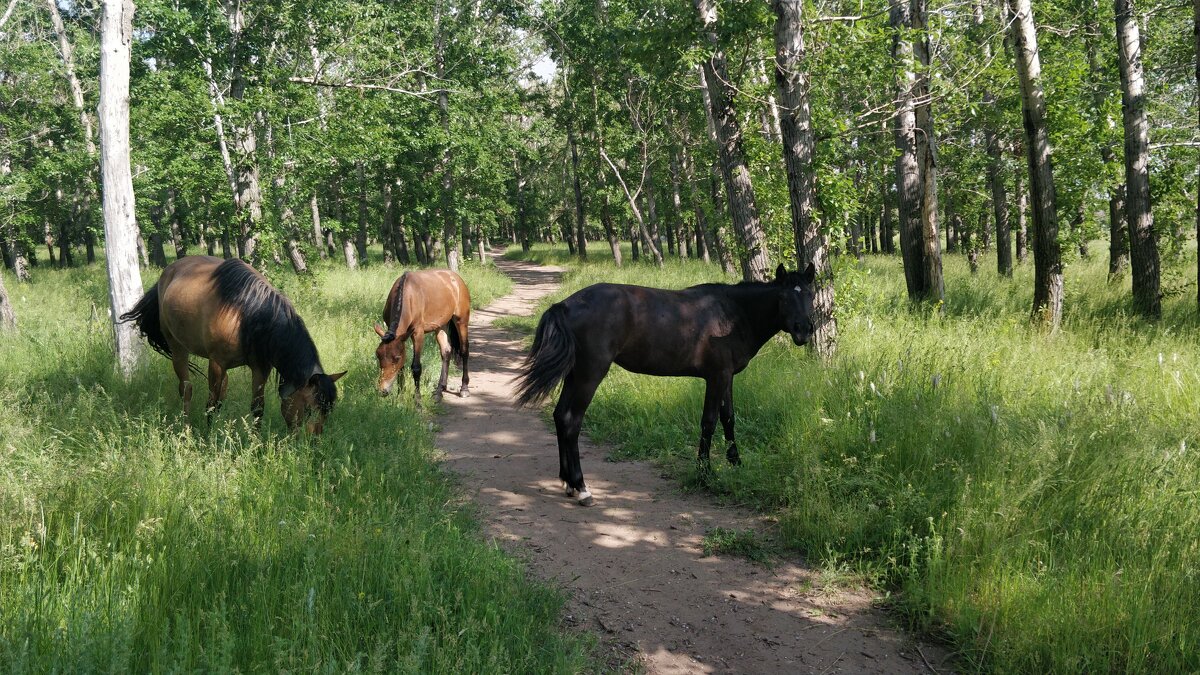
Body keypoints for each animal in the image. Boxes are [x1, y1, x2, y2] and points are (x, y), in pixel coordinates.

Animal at [119, 254, 345, 432]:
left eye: (329, 411)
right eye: (308, 409)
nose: (312, 446)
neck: (246, 314)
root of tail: (167, 273)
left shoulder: (260, 369)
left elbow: (257, 408)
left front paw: (255, 445)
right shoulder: (217, 363)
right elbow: (211, 404)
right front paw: (208, 439)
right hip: (178, 348)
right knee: (186, 389)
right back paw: (186, 428)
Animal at [372, 267, 470, 401]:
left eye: (396, 358)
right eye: (378, 355)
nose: (383, 390)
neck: (408, 295)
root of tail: (457, 279)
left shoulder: (417, 333)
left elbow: (416, 367)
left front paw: (417, 399)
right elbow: (402, 368)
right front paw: (400, 396)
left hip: (461, 321)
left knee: (464, 350)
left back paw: (464, 388)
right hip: (441, 326)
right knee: (446, 352)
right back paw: (439, 390)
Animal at [513, 263, 816, 504]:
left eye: (810, 294)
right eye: (784, 297)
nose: (804, 330)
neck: (733, 313)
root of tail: (566, 305)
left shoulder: (727, 377)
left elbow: (728, 418)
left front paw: (736, 463)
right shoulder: (716, 376)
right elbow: (709, 422)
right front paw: (704, 472)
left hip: (575, 374)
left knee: (559, 416)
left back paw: (568, 483)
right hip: (590, 374)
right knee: (571, 420)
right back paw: (581, 487)